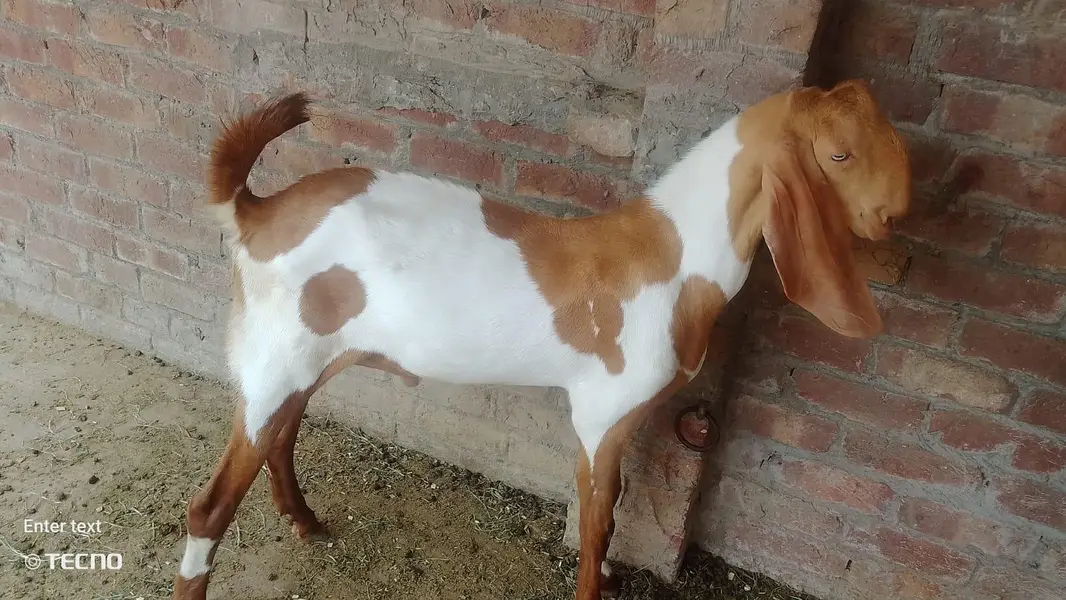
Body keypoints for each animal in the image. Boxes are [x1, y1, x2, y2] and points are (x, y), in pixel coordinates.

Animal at [172, 79, 911, 600]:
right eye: (839, 154)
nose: (893, 216)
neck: (669, 255)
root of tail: (257, 211)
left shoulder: (624, 417)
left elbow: (612, 507)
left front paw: (609, 576)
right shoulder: (601, 410)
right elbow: (596, 519)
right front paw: (594, 584)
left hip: (311, 356)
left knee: (281, 440)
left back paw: (306, 522)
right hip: (274, 357)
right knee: (209, 507)